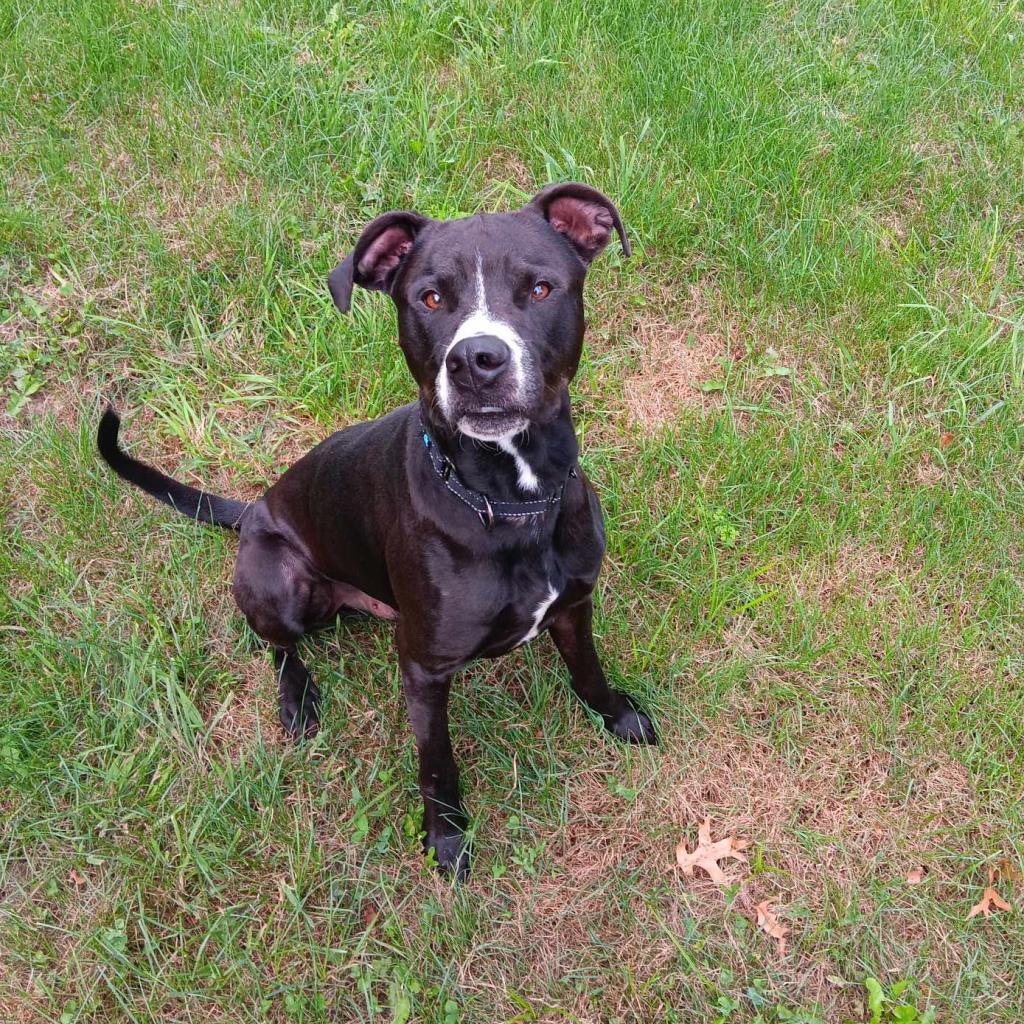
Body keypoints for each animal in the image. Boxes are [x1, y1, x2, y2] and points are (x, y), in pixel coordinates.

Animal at [97, 182, 655, 872]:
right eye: (431, 297)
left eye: (541, 288)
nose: (476, 359)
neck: (508, 499)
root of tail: (254, 509)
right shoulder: (423, 667)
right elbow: (437, 763)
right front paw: (446, 837)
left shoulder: (575, 605)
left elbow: (589, 672)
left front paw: (619, 717)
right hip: (281, 585)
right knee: (277, 644)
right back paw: (296, 699)